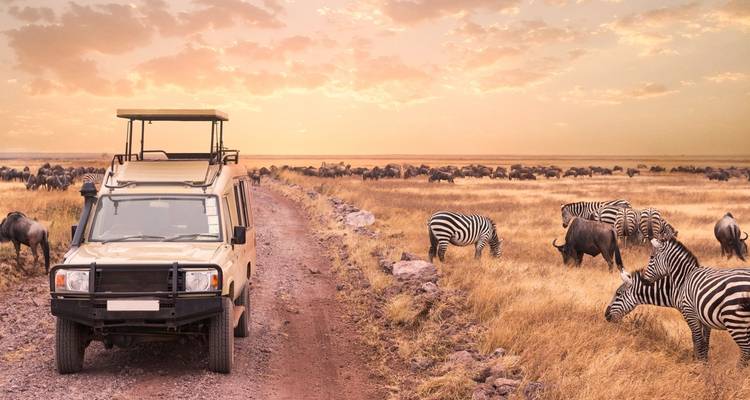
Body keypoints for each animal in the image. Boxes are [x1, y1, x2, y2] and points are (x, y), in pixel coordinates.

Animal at [642, 238, 750, 366]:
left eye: (652, 257)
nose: (643, 281)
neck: (685, 277)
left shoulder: (690, 313)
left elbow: (697, 339)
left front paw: (699, 365)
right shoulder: (704, 317)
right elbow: (704, 342)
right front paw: (703, 362)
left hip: (734, 320)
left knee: (746, 350)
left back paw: (736, 370)